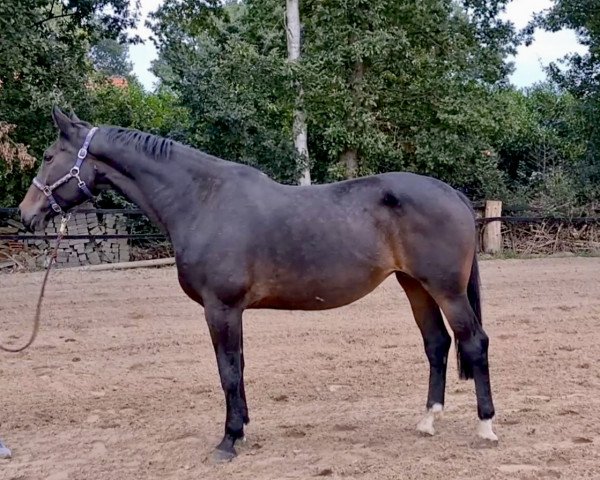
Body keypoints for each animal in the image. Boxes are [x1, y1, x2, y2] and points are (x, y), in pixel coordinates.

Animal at [16, 107, 500, 464]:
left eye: (48, 156)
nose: (26, 214)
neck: (202, 200)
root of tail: (453, 194)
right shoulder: (229, 311)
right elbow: (238, 367)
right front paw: (242, 430)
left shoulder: (220, 307)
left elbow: (228, 371)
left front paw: (228, 442)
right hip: (414, 285)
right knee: (437, 344)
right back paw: (428, 421)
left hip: (446, 289)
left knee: (473, 342)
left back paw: (486, 426)